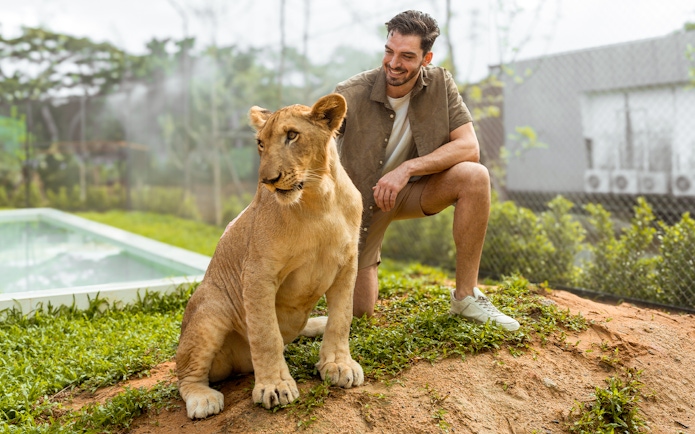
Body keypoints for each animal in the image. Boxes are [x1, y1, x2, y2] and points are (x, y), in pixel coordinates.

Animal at [176, 93, 364, 420]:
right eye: (261, 143)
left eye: (292, 135)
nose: (269, 180)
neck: (319, 200)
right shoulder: (257, 274)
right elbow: (265, 334)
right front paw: (275, 386)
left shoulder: (347, 265)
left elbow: (342, 318)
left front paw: (339, 365)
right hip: (210, 308)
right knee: (186, 374)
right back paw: (203, 399)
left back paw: (317, 322)